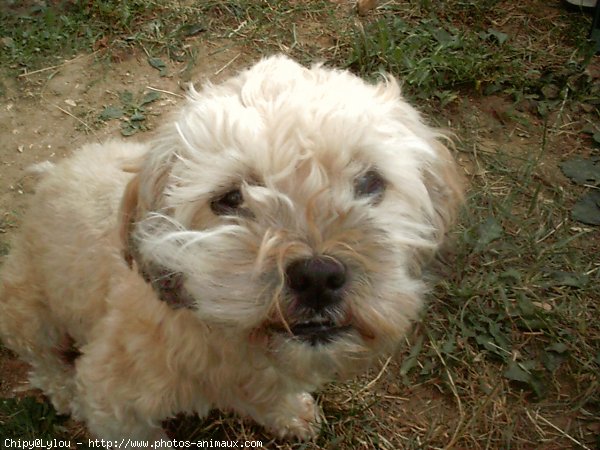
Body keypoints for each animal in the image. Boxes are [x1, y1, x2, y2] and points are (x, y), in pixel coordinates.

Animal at [0, 54, 464, 444]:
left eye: (369, 182)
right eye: (230, 199)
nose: (317, 277)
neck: (226, 337)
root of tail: (49, 175)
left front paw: (292, 414)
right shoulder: (110, 397)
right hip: (27, 311)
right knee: (42, 358)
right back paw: (62, 389)